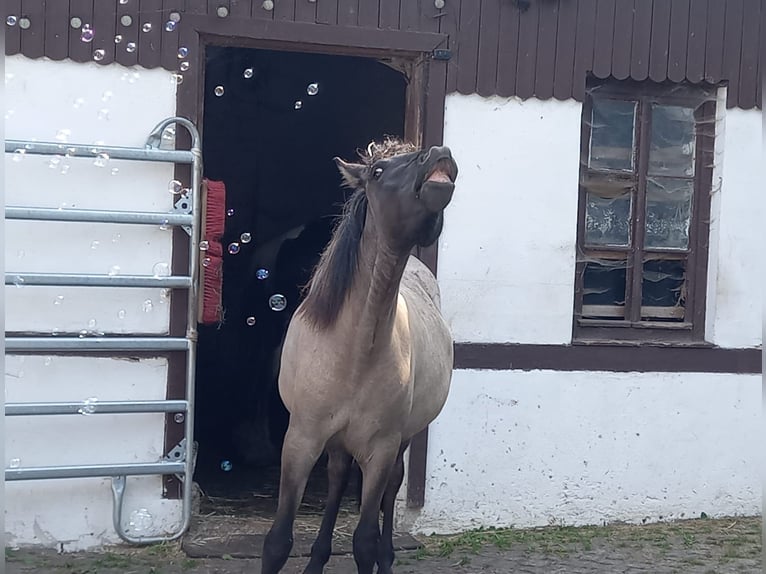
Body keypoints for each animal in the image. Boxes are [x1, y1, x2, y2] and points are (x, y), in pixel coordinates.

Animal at [261, 138, 458, 574]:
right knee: (336, 477)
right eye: (377, 171)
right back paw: (317, 560)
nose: (438, 153)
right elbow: (277, 541)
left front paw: (376, 554)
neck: (353, 350)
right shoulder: (300, 439)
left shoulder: (380, 448)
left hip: (399, 442)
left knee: (390, 489)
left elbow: (364, 539)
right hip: (333, 441)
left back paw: (386, 558)